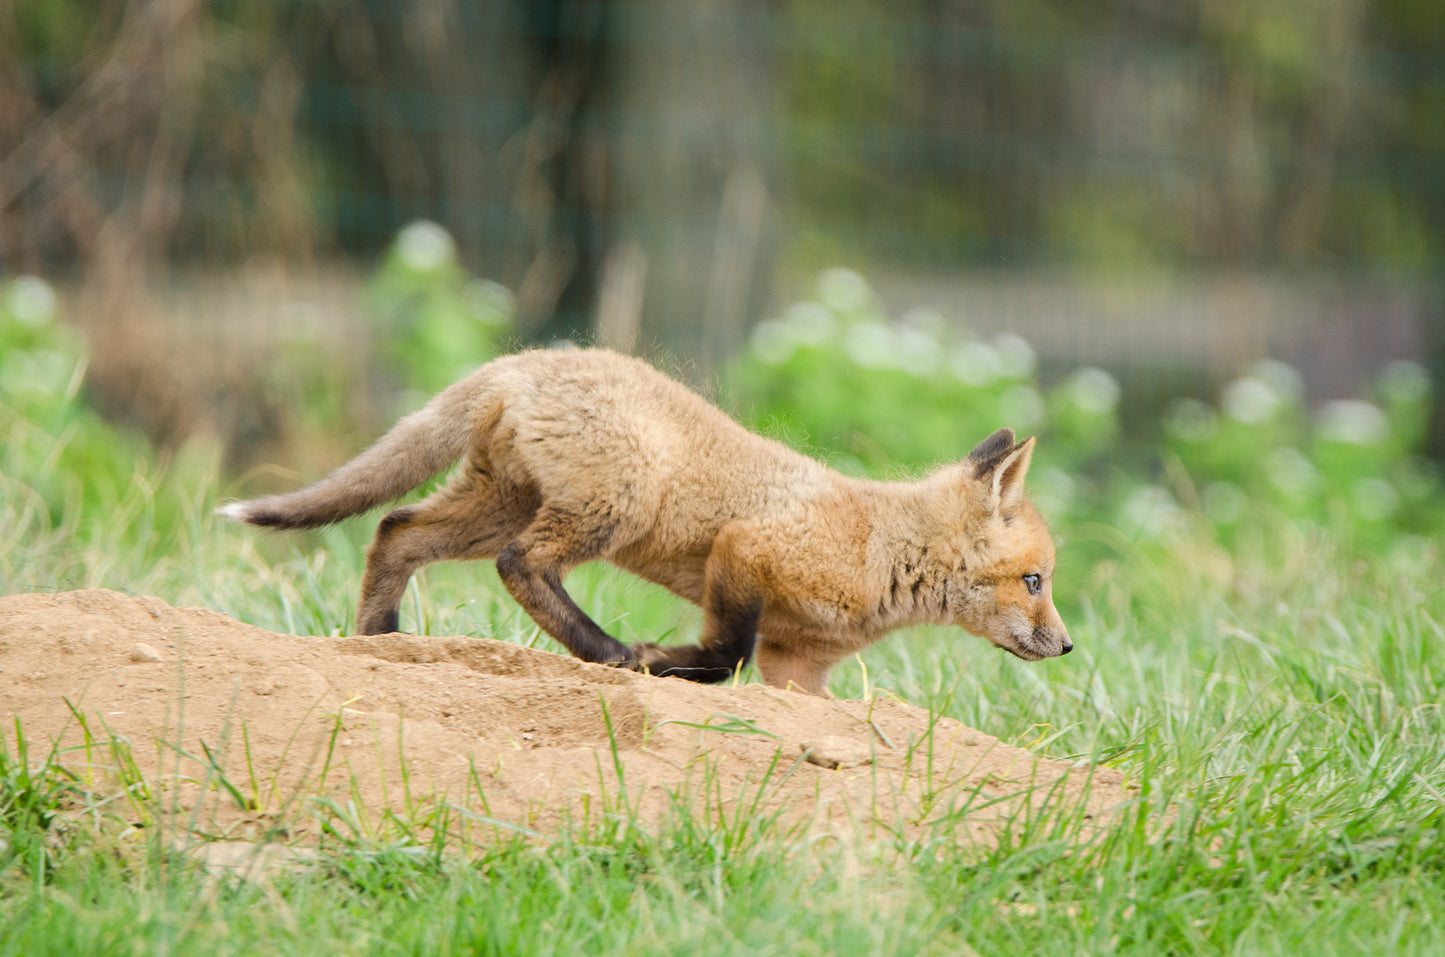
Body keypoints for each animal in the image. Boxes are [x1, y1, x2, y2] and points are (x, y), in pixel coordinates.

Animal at [219, 348, 1069, 693]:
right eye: (1033, 580)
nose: (1066, 646)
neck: (883, 553)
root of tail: (525, 359)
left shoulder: (798, 667)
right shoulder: (743, 551)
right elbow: (724, 653)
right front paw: (665, 662)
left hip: (493, 506)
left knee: (395, 529)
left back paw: (379, 640)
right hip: (609, 508)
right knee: (522, 564)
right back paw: (606, 650)